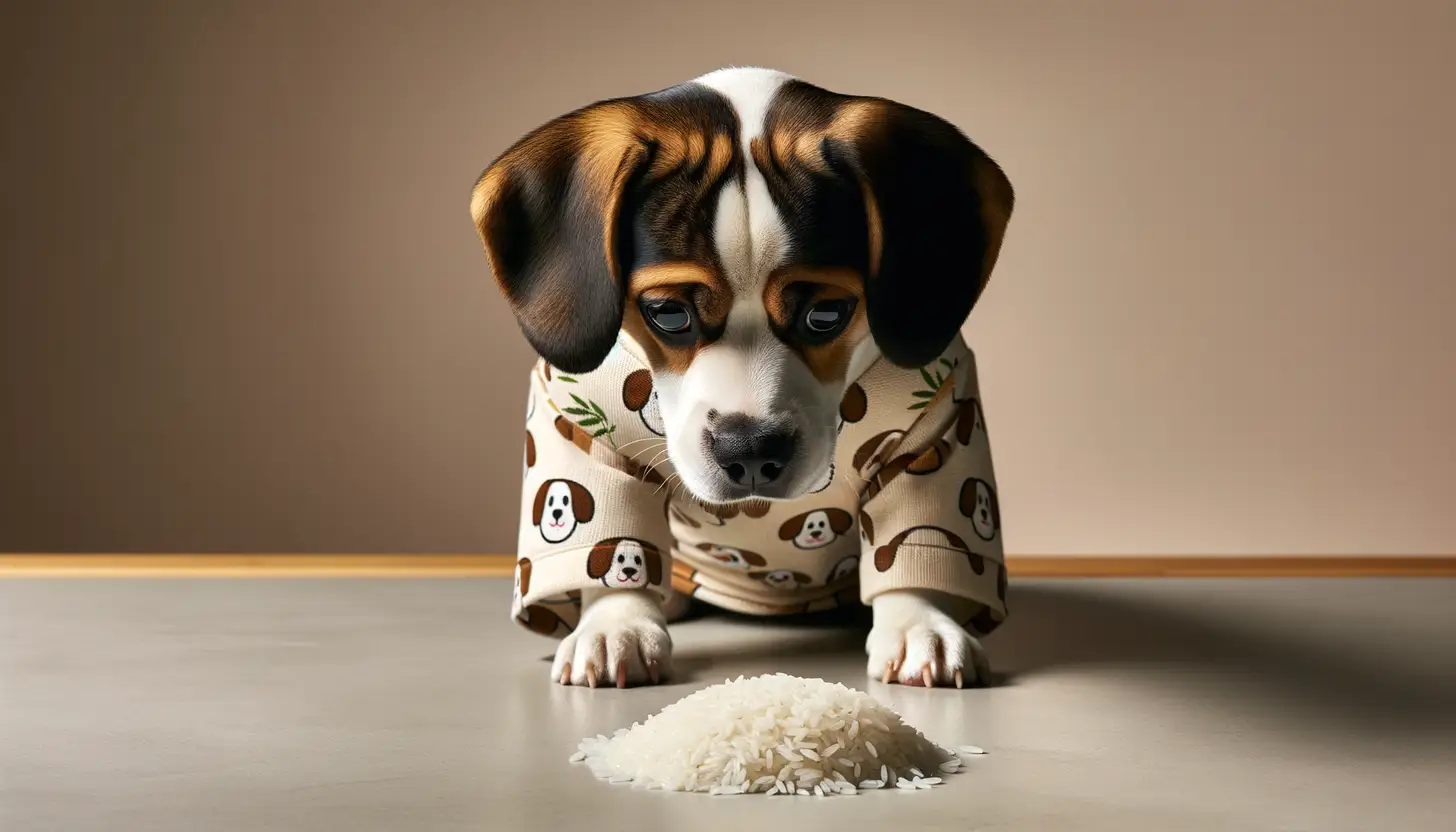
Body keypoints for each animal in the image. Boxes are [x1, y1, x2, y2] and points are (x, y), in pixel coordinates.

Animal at [477, 66, 1013, 690]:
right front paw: (616, 623)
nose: (751, 451)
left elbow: (915, 533)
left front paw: (919, 623)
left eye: (827, 314)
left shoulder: (940, 424)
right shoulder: (574, 420)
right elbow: (609, 531)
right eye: (668, 313)